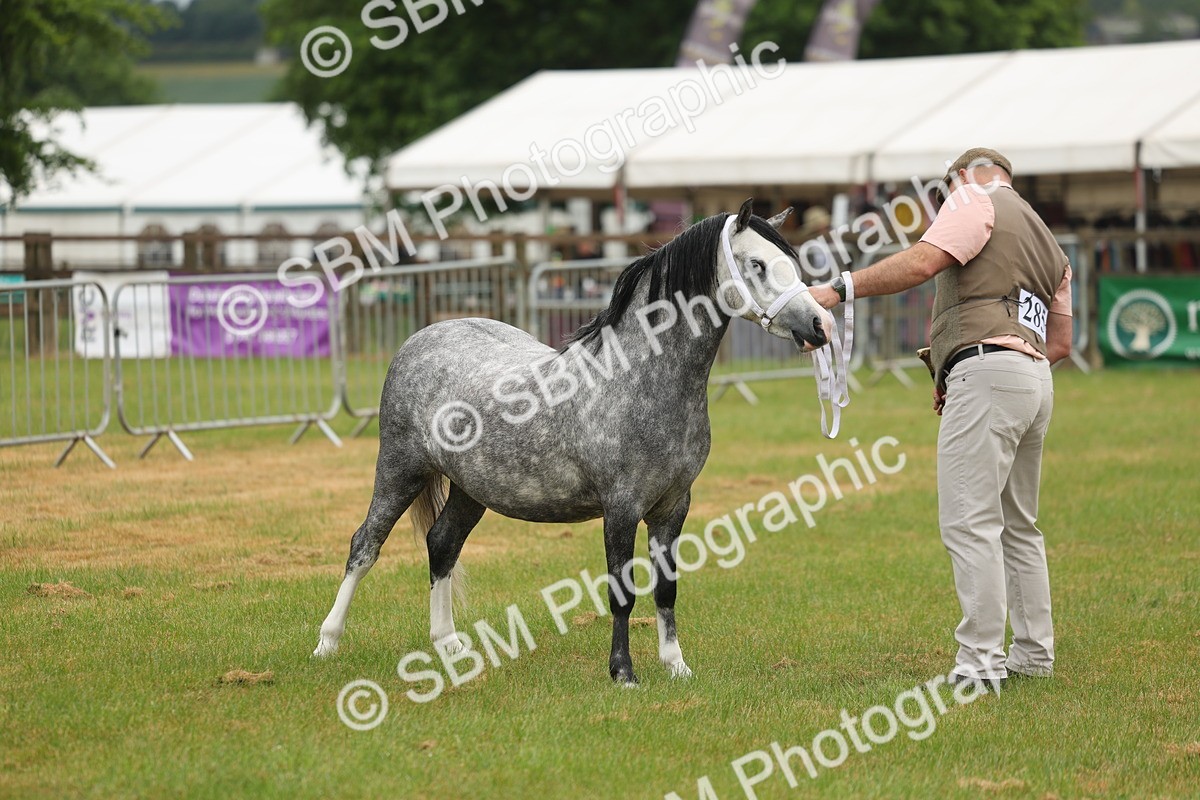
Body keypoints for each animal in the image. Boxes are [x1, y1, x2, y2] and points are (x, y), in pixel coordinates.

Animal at [313, 199, 833, 684]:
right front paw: (623, 673)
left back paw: (449, 646)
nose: (819, 326)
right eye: (757, 264)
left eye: (792, 261)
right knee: (365, 546)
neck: (638, 378)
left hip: (471, 488)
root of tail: (421, 337)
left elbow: (666, 589)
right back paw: (327, 643)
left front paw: (676, 666)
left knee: (442, 544)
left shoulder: (673, 506)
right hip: (400, 469)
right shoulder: (621, 507)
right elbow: (622, 593)